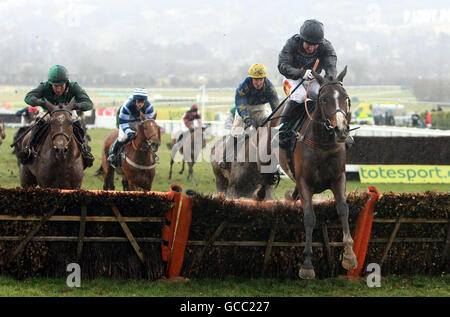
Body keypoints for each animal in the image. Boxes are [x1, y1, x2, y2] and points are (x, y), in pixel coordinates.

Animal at [280, 65, 356, 278]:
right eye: (324, 99)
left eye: (346, 97)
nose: (341, 130)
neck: (323, 144)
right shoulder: (305, 183)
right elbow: (309, 217)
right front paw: (307, 264)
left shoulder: (339, 178)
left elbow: (343, 209)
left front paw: (349, 255)